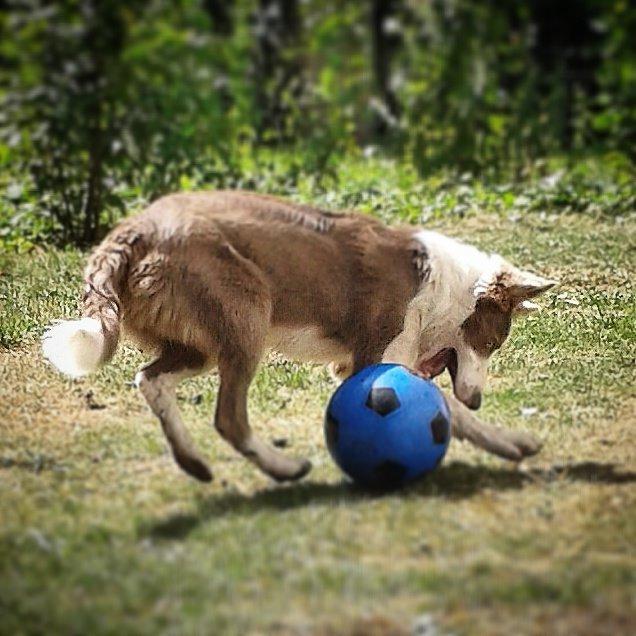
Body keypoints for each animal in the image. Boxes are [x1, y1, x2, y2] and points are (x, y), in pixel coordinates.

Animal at [42, 190, 556, 482]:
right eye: (492, 343)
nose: (479, 398)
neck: (443, 287)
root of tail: (134, 229)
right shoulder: (375, 360)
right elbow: (446, 407)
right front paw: (512, 442)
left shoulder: (356, 366)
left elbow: (443, 405)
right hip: (247, 320)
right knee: (228, 418)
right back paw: (283, 468)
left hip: (200, 345)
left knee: (149, 379)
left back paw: (194, 464)